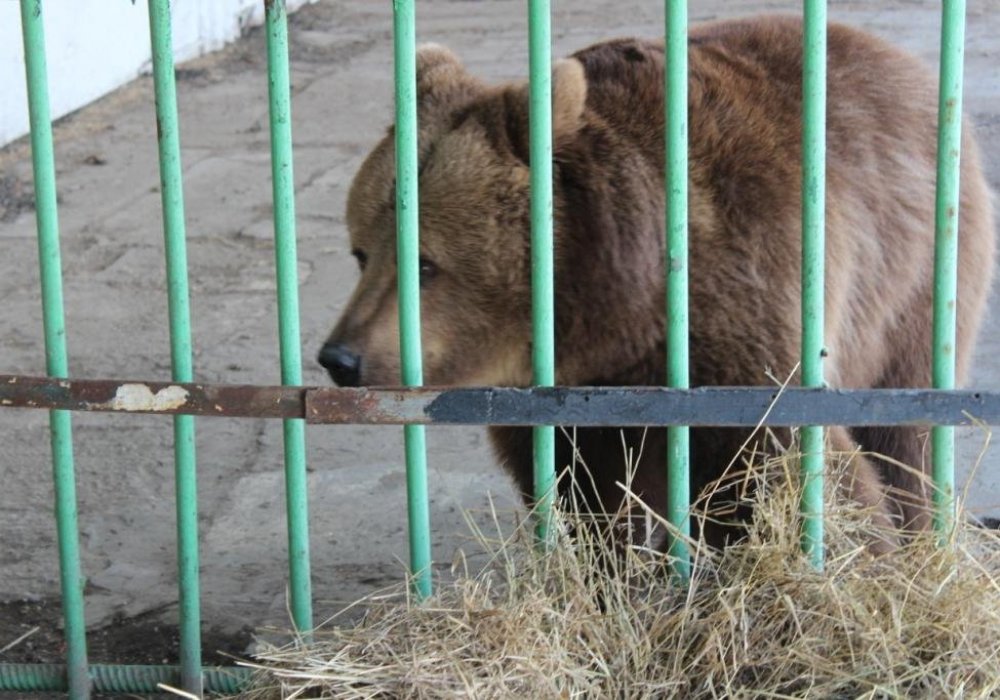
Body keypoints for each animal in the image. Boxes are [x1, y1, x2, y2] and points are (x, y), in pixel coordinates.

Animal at [318, 15, 992, 552]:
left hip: (914, 275)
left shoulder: (737, 313)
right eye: (361, 252)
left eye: (425, 263)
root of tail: (896, 58)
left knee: (903, 429)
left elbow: (784, 454)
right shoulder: (559, 399)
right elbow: (581, 490)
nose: (340, 358)